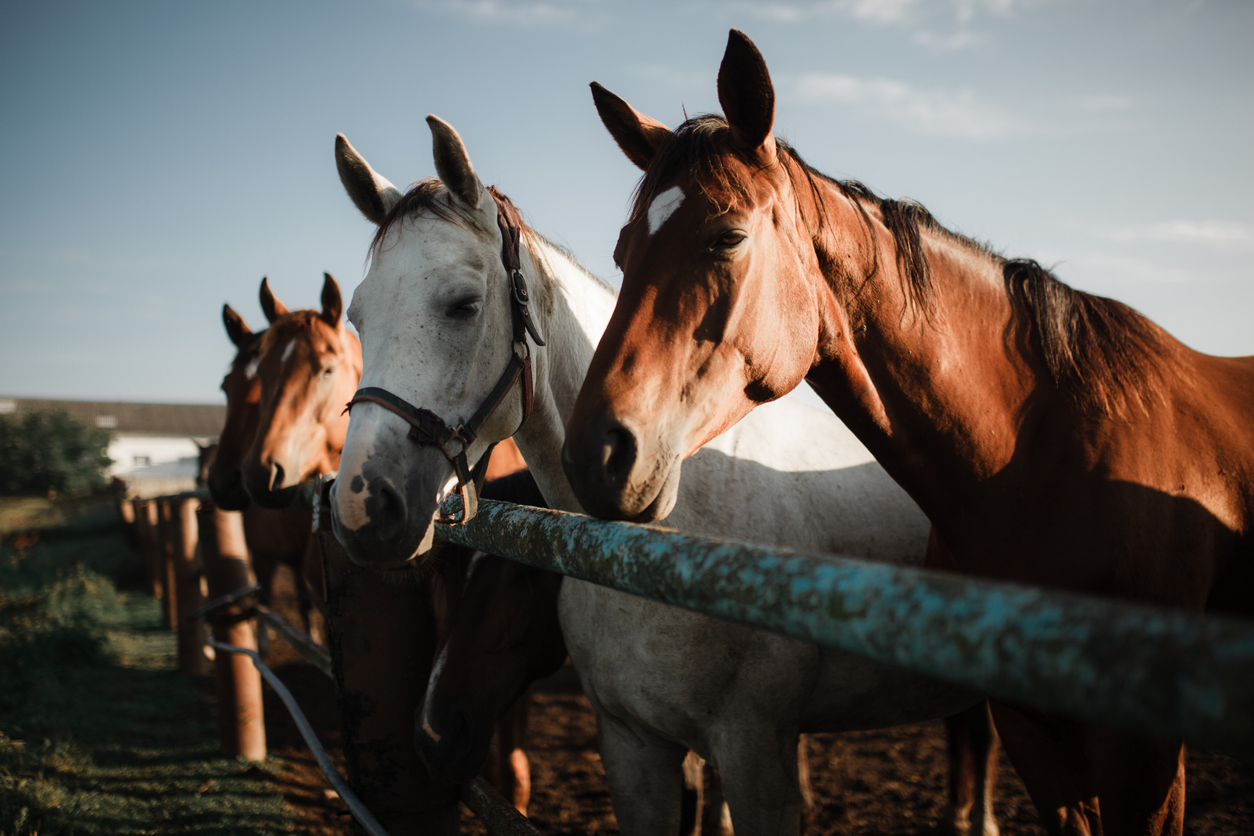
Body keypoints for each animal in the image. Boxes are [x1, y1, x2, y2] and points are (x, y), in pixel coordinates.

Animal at [328, 116, 1002, 836]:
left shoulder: (754, 749)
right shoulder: (633, 744)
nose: (363, 505)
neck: (655, 546)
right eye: (357, 317)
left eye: (462, 304)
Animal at [560, 29, 1254, 836]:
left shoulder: (1142, 756)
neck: (1039, 460)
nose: (596, 454)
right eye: (621, 251)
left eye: (727, 236)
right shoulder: (1032, 733)